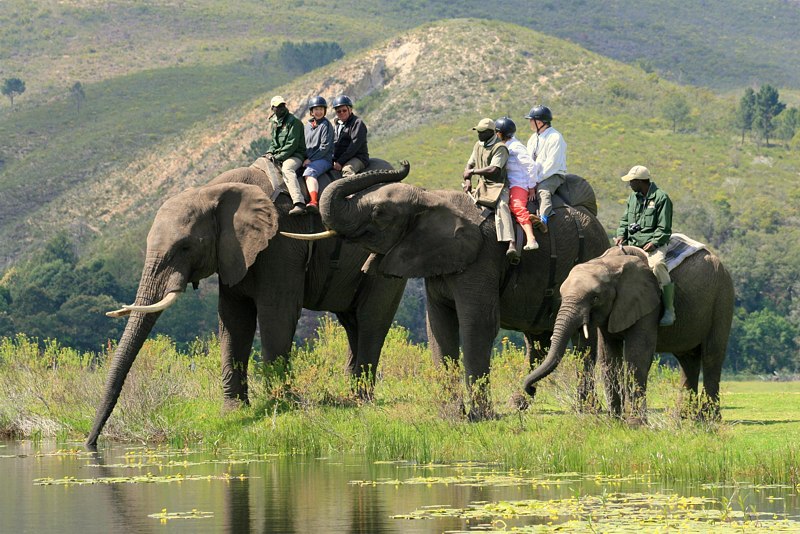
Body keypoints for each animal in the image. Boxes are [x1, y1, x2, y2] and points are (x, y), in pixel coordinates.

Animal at [85, 161, 407, 449]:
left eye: (185, 247)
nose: (90, 443)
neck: (213, 190)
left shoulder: (280, 243)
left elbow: (277, 313)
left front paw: (281, 404)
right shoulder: (233, 252)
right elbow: (233, 319)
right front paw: (234, 411)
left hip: (388, 257)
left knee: (371, 321)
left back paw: (361, 400)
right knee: (352, 323)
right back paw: (349, 397)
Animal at [285, 162, 610, 418]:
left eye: (378, 213)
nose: (404, 164)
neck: (430, 198)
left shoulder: (481, 257)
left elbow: (477, 324)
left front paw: (480, 416)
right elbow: (439, 327)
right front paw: (452, 414)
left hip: (590, 256)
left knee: (583, 344)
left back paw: (585, 410)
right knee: (538, 340)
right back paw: (521, 401)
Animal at [522, 245, 734, 421]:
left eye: (595, 298)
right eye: (562, 294)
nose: (530, 388)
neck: (609, 263)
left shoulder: (648, 303)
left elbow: (636, 356)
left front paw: (635, 423)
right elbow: (609, 357)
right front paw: (614, 420)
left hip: (723, 298)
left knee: (711, 356)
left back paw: (709, 419)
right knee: (687, 359)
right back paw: (683, 417)